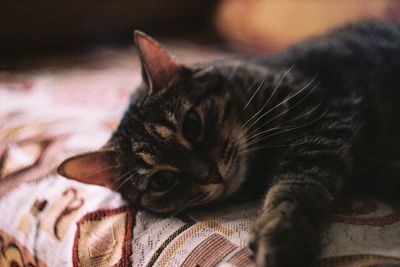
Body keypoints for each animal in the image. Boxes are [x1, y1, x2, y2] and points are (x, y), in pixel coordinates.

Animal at [57, 21, 400, 267]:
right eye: (162, 180)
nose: (211, 173)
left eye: (192, 124)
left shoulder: (326, 116)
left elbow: (296, 184)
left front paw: (280, 231)